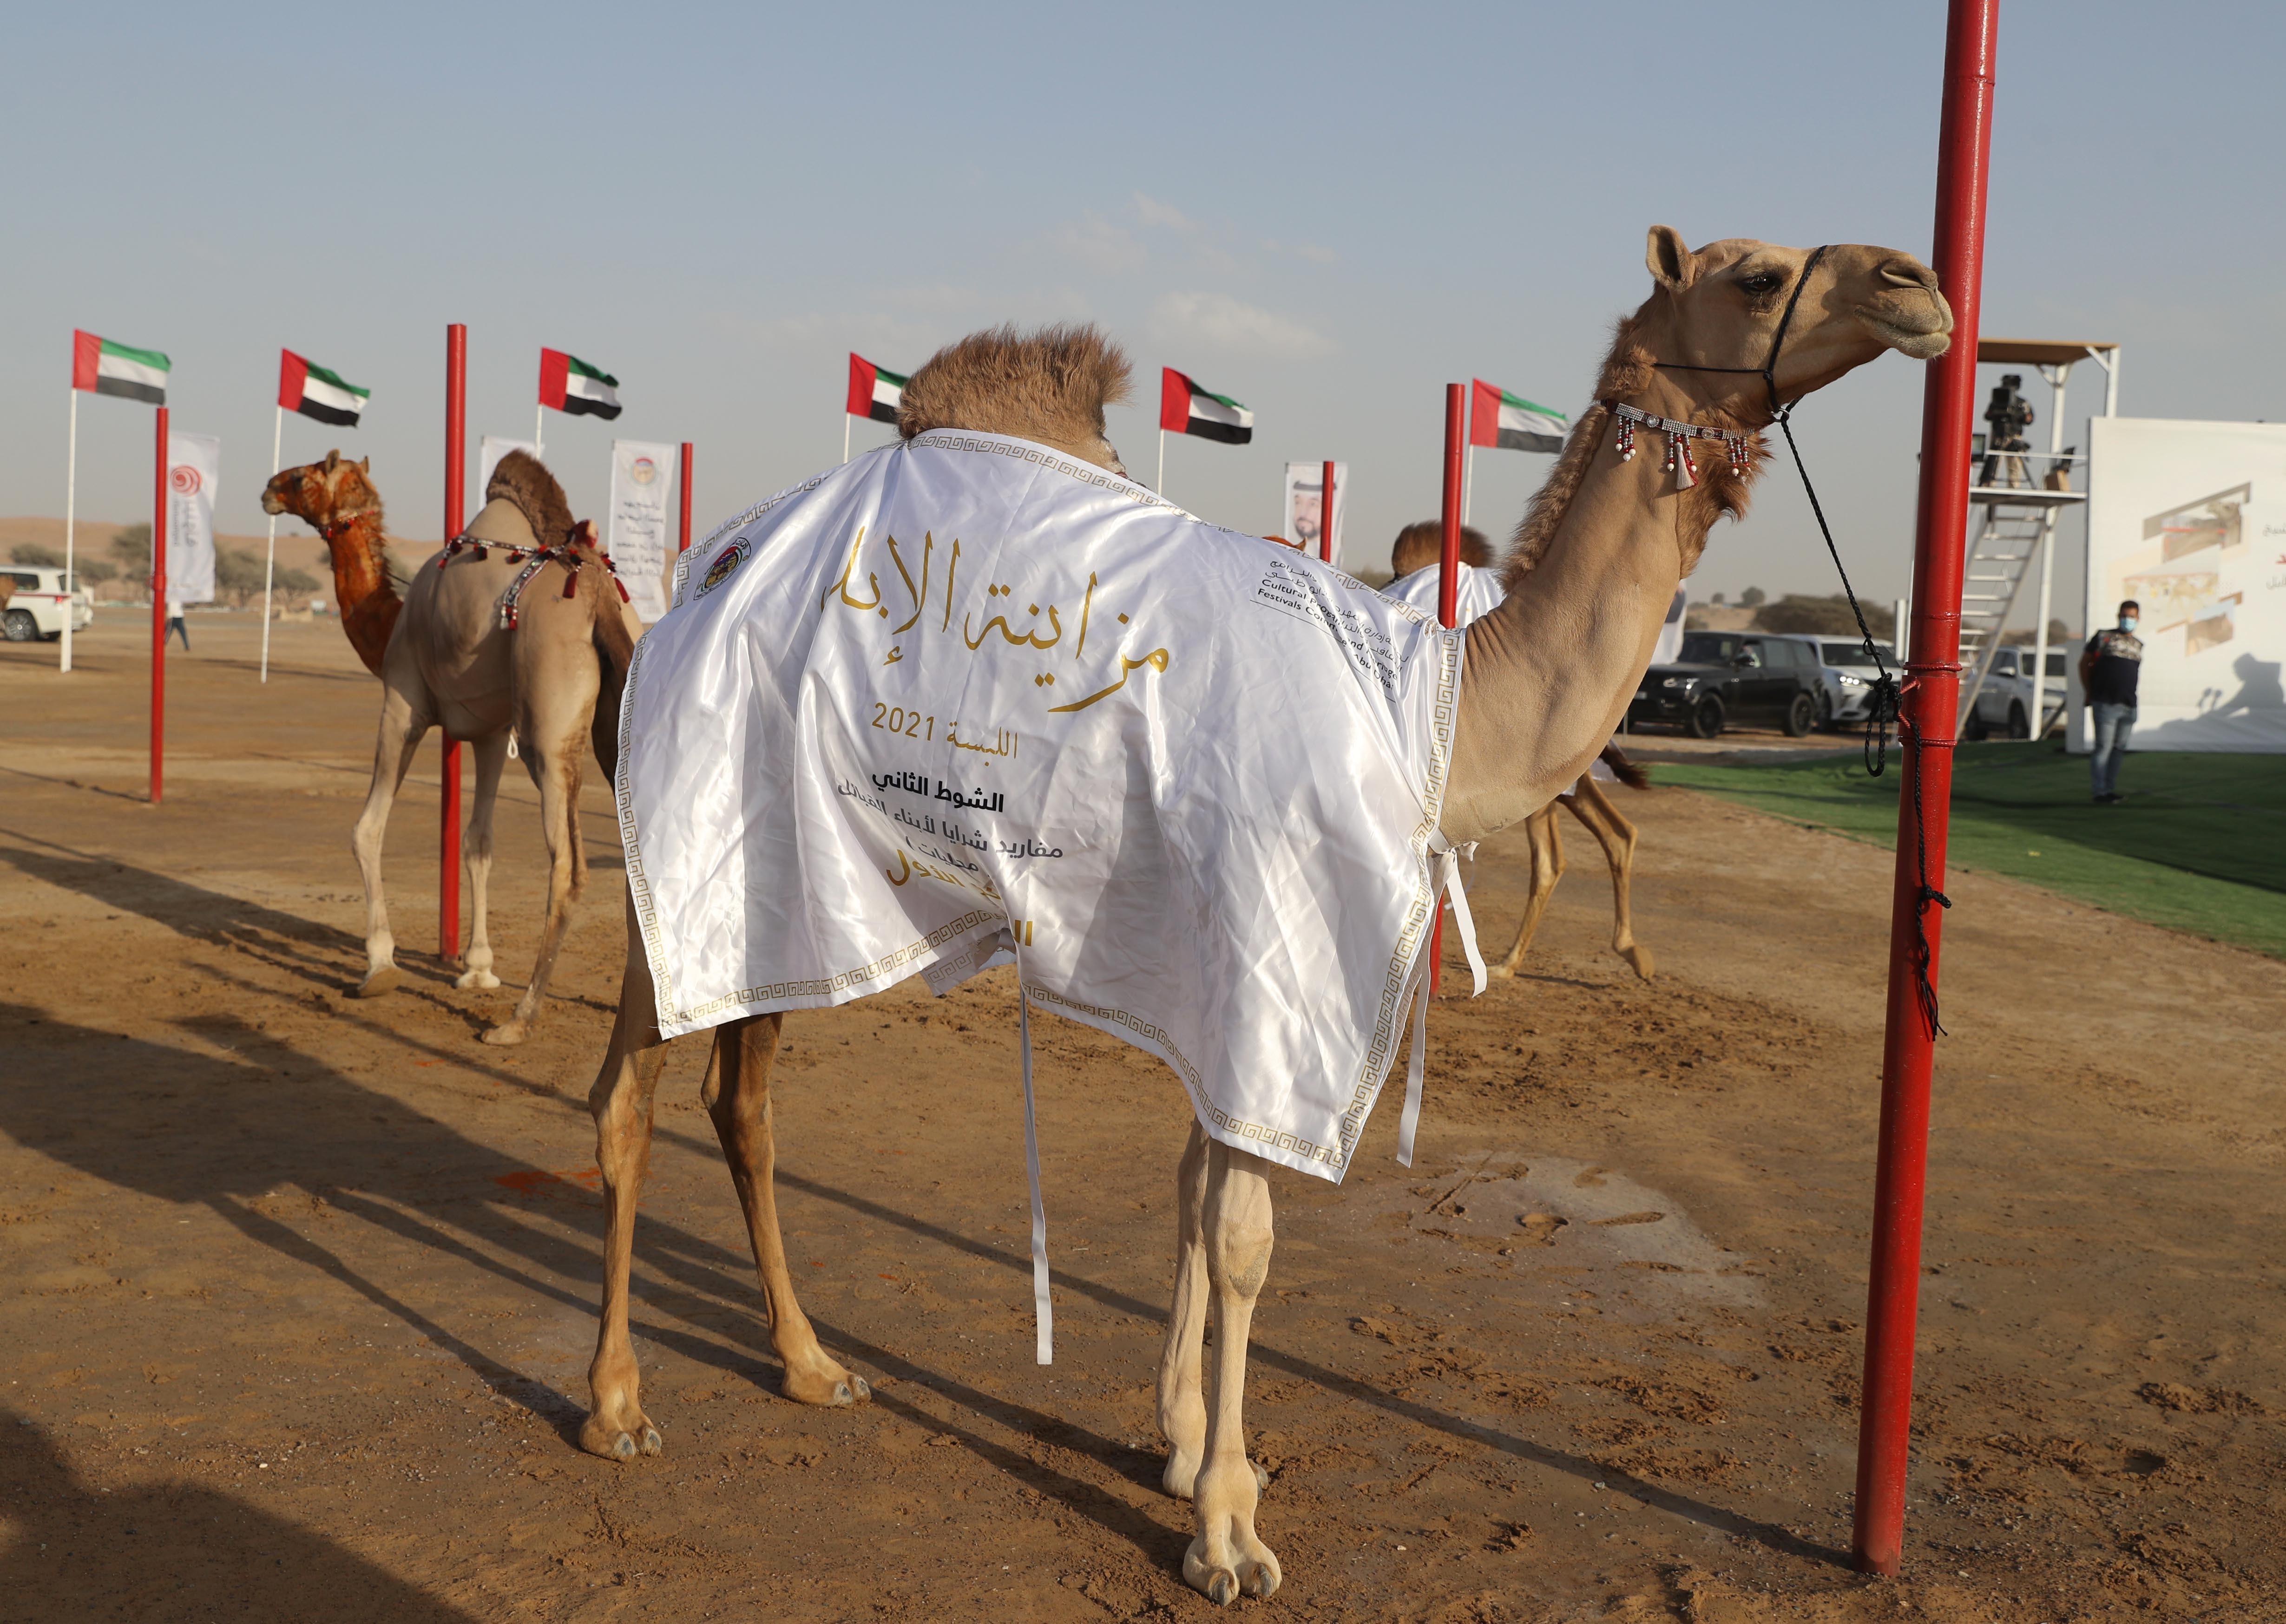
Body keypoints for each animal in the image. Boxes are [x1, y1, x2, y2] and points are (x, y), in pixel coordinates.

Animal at [572, 235, 1947, 1608]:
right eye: (1756, 276)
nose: (1917, 287)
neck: (1434, 707)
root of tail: (680, 594)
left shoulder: (1217, 966)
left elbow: (1193, 1185)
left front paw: (1179, 1442)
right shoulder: (1269, 946)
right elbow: (1242, 1235)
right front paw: (1226, 1529)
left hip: (785, 876)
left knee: (741, 1096)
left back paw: (810, 1364)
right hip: (679, 833)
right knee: (629, 1097)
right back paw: (617, 1405)